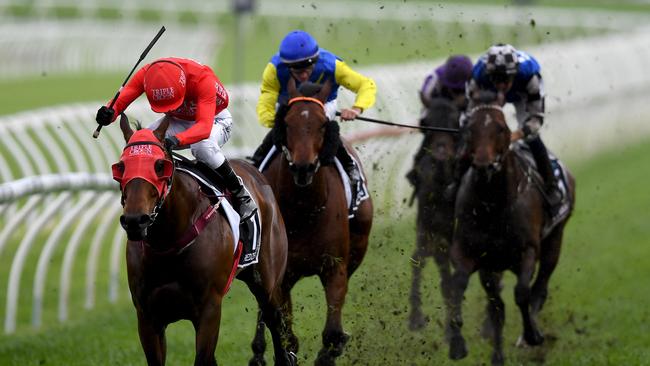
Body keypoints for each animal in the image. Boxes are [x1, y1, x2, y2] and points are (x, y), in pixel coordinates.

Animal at [112, 115, 294, 366]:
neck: (168, 242)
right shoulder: (147, 317)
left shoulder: (209, 310)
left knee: (276, 325)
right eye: (121, 167)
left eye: (159, 165)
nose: (134, 221)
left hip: (267, 281)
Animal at [251, 81, 372, 366]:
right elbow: (287, 336)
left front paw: (330, 352)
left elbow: (333, 333)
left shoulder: (335, 268)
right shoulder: (282, 277)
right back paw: (258, 350)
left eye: (322, 124)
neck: (302, 210)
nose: (303, 168)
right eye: (287, 123)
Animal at [446, 98, 572, 364]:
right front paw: (458, 345)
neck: (493, 205)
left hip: (554, 241)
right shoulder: (470, 254)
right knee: (498, 308)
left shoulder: (527, 251)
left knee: (539, 288)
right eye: (469, 130)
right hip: (493, 267)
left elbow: (522, 293)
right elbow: (460, 286)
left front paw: (532, 335)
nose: (484, 165)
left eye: (501, 129)